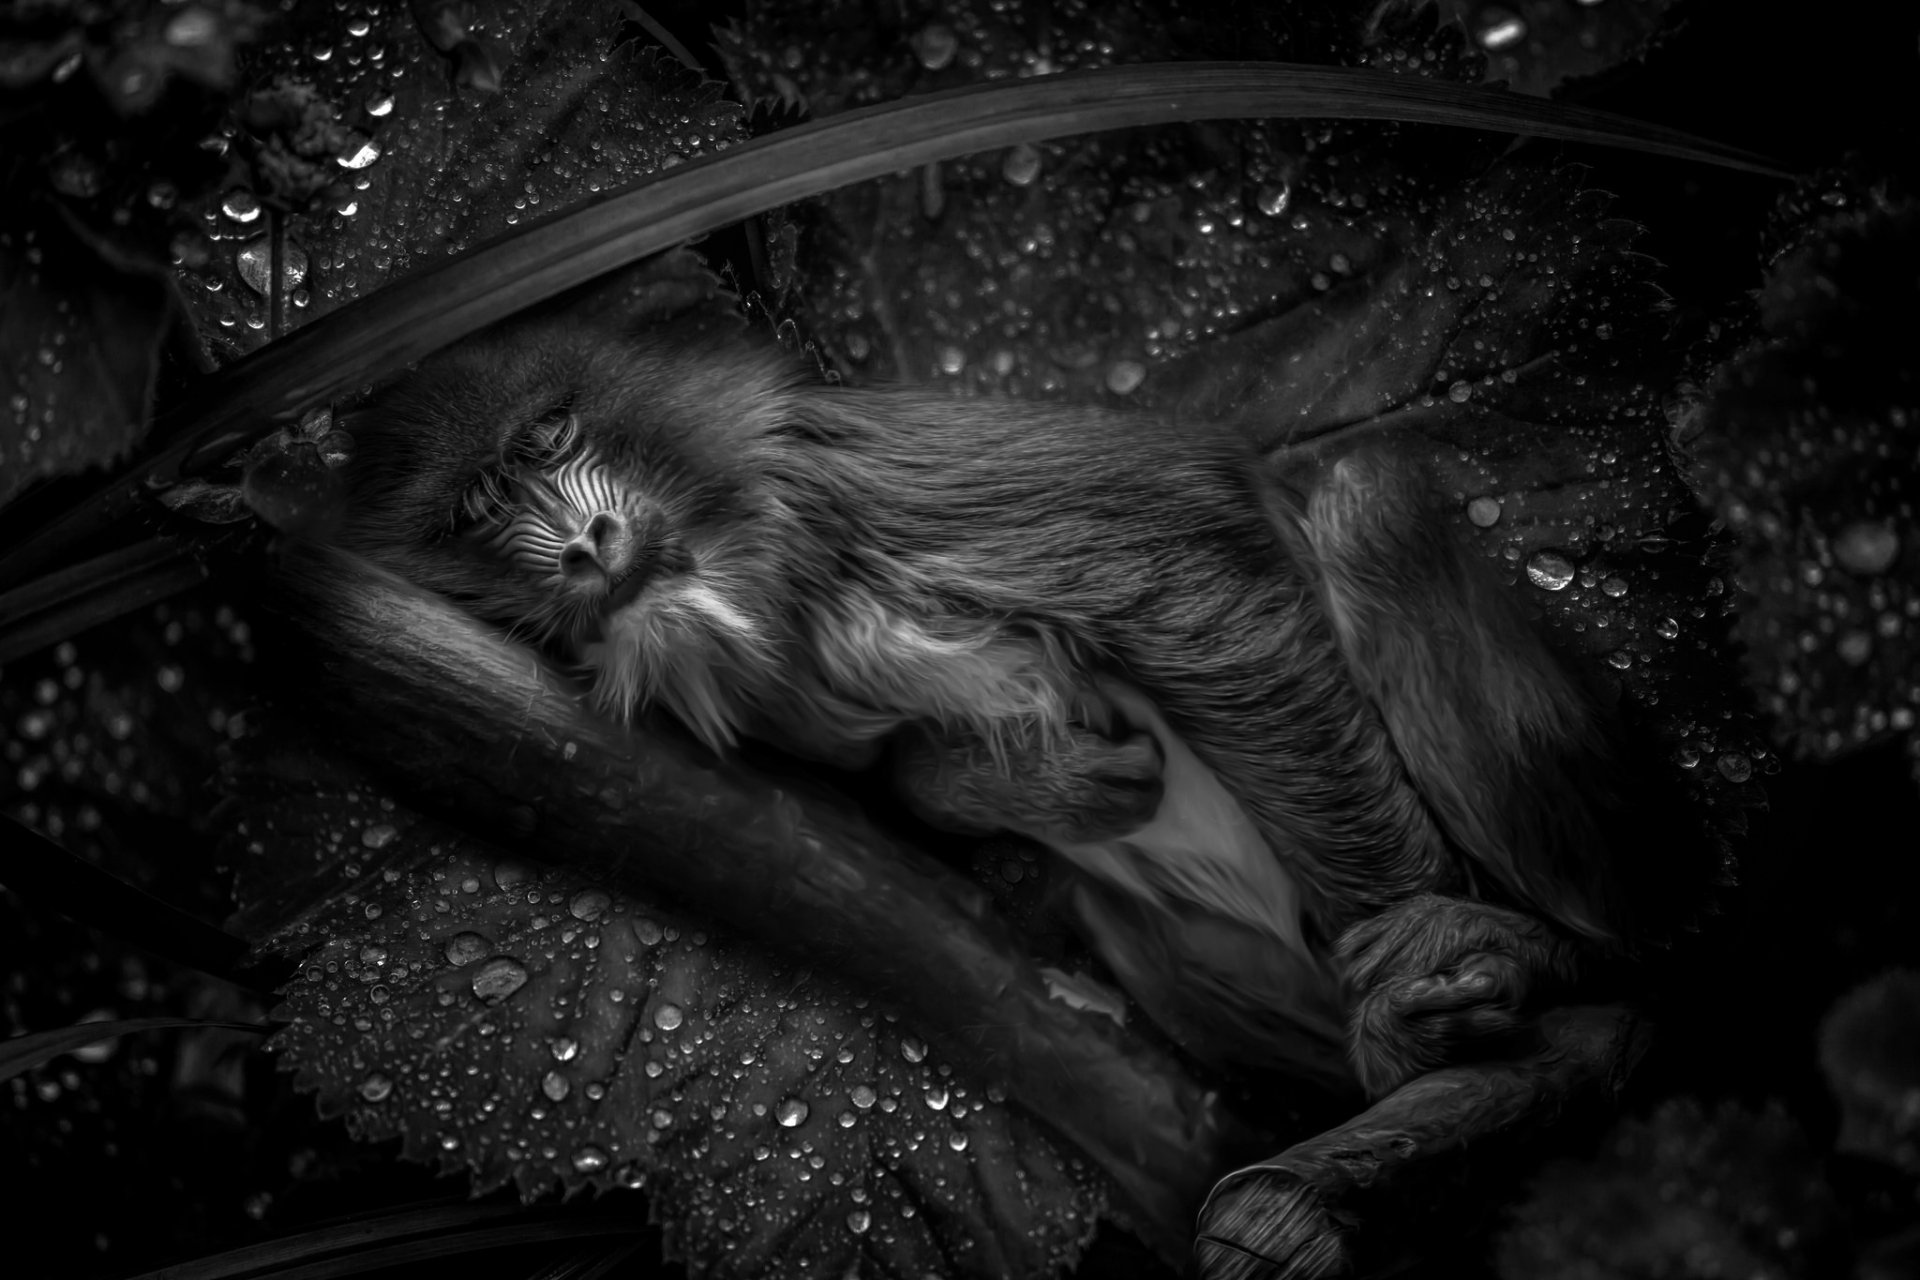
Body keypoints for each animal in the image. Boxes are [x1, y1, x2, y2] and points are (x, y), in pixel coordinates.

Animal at [328, 312, 1638, 1098]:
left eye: (553, 434)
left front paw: (1415, 980)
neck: (730, 562)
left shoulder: (853, 476)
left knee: (1365, 500)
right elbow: (901, 781)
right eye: (477, 512)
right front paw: (1034, 783)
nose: (584, 545)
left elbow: (1194, 556)